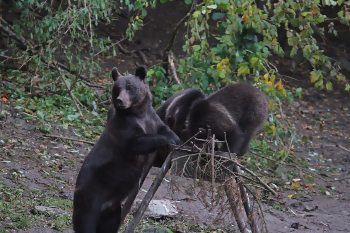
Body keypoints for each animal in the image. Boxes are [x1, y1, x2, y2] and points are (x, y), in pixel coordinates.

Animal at [72, 66, 179, 232]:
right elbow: (136, 143)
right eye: (117, 88)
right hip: (90, 197)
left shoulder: (154, 120)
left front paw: (176, 139)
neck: (139, 114)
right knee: (85, 223)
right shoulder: (124, 128)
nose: (120, 100)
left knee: (109, 225)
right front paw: (167, 140)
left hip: (113, 210)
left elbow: (165, 133)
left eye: (130, 87)